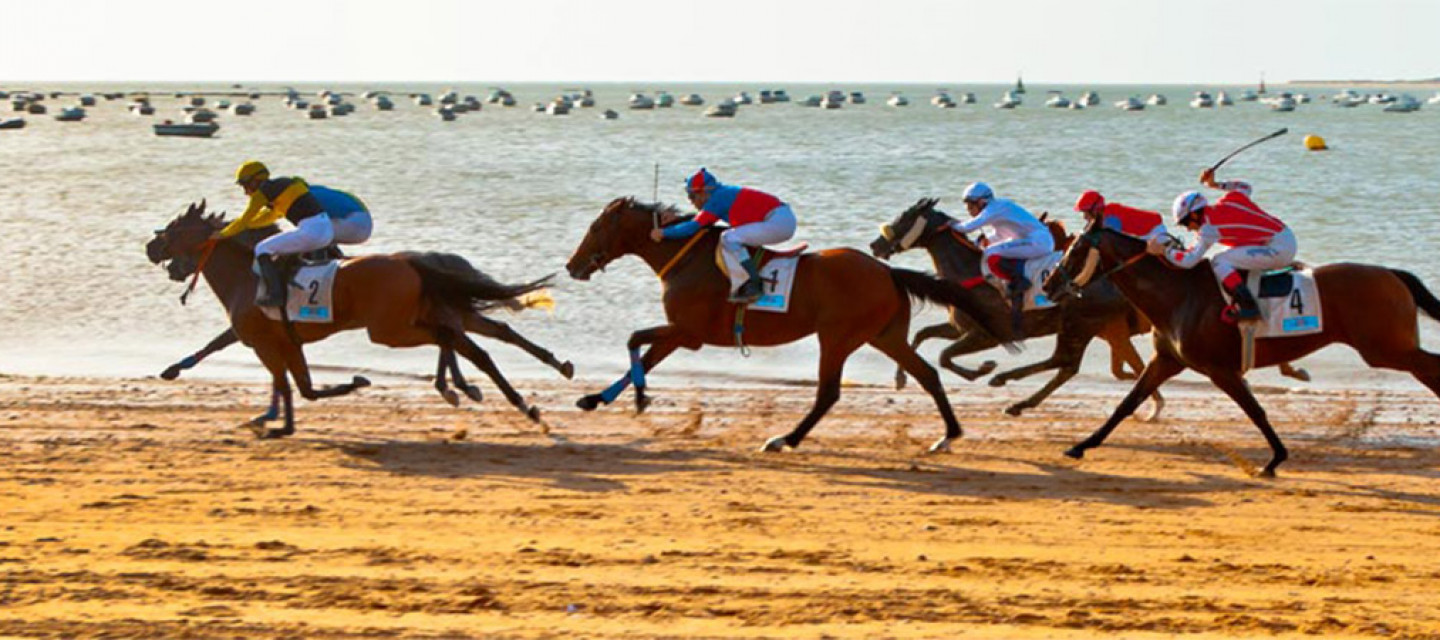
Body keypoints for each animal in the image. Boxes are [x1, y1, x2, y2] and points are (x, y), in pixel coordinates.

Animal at [147, 201, 573, 438]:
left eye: (174, 229)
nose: (151, 247)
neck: (248, 273)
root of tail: (412, 262)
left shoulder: (265, 341)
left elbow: (291, 384)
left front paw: (277, 421)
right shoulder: (279, 340)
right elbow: (283, 379)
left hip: (390, 329)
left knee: (454, 339)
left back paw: (465, 389)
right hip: (419, 319)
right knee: (479, 342)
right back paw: (525, 397)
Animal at [561, 197, 1013, 452]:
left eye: (596, 227)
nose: (571, 266)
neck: (688, 258)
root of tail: (888, 271)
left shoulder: (688, 332)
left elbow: (634, 341)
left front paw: (632, 396)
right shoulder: (682, 332)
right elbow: (642, 352)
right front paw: (601, 398)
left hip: (837, 336)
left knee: (828, 393)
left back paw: (784, 439)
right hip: (884, 336)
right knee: (928, 374)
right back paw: (947, 436)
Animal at [1042, 220, 1440, 475]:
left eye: (1076, 249)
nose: (1047, 284)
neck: (1178, 294)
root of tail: (1391, 274)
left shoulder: (1219, 369)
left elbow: (1254, 410)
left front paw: (1275, 459)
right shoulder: (1167, 359)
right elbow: (1127, 403)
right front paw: (1081, 445)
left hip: (1385, 349)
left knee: (1431, 367)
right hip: (1391, 348)